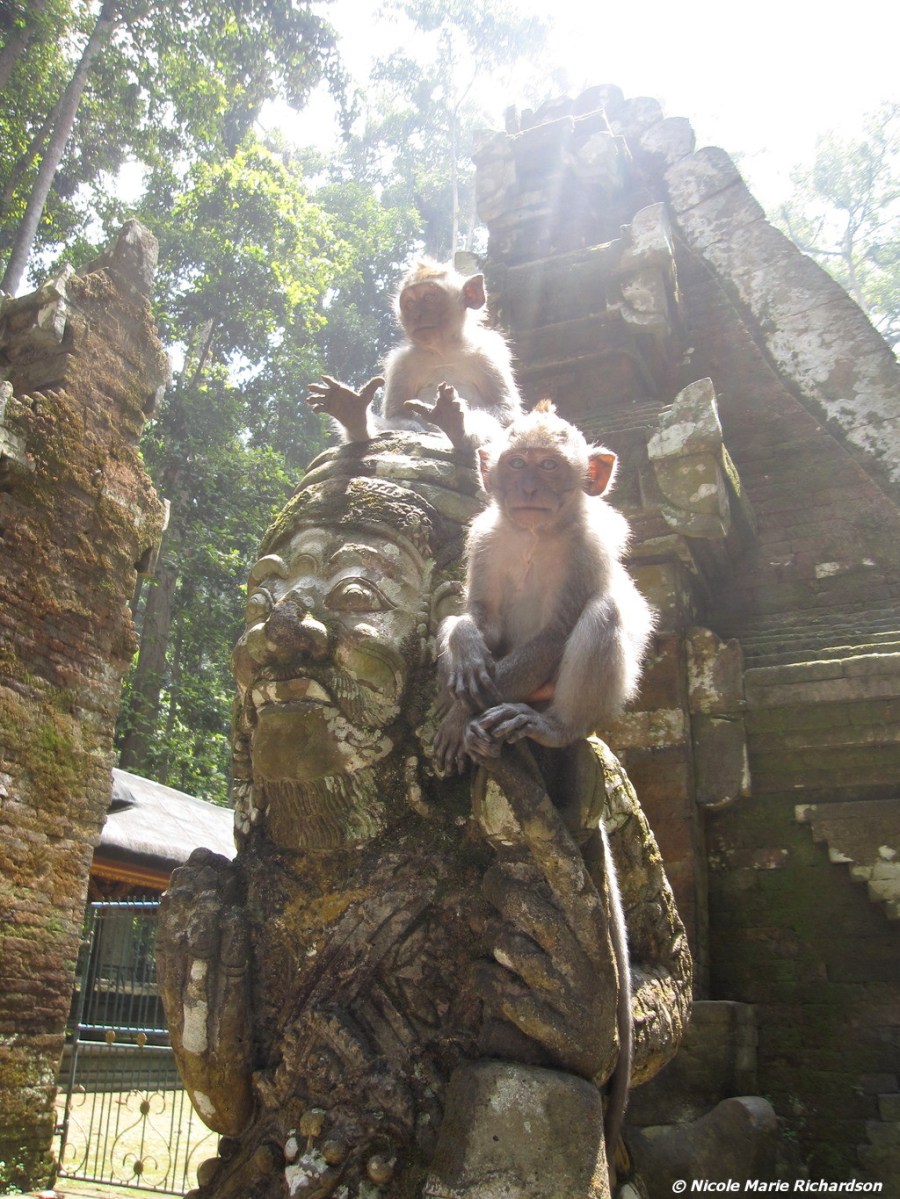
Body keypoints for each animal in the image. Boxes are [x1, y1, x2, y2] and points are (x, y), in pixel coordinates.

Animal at [307, 257, 522, 451]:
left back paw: (456, 428)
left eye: (429, 297)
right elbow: (398, 416)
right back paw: (353, 415)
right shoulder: (401, 362)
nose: (417, 315)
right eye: (409, 303)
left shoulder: (488, 354)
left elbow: (505, 410)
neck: (443, 351)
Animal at [432, 400, 655, 1174]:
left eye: (552, 470)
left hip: (593, 702)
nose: (529, 488)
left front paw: (469, 711)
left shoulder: (587, 548)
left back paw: (542, 727)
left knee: (608, 614)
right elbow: (477, 615)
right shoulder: (487, 541)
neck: (533, 534)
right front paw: (461, 670)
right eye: (517, 466)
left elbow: (561, 628)